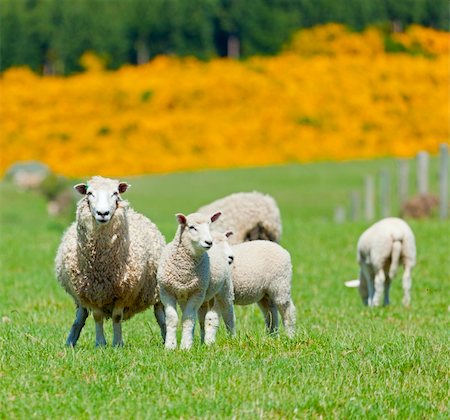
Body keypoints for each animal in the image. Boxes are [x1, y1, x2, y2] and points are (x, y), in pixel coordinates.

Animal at [54, 176, 166, 346]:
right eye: (89, 193)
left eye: (115, 193)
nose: (103, 213)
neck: (101, 265)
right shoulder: (92, 292)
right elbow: (97, 317)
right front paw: (100, 343)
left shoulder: (122, 292)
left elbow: (117, 317)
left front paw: (117, 344)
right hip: (80, 295)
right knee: (81, 316)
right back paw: (70, 342)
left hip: (155, 290)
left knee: (161, 316)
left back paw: (167, 338)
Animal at [157, 212, 236, 350]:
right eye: (192, 227)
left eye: (209, 226)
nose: (209, 242)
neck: (183, 271)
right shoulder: (166, 291)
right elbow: (172, 319)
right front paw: (170, 346)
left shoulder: (197, 293)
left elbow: (188, 319)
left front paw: (185, 346)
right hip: (193, 297)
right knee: (201, 318)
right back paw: (203, 341)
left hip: (224, 290)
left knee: (228, 314)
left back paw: (232, 338)